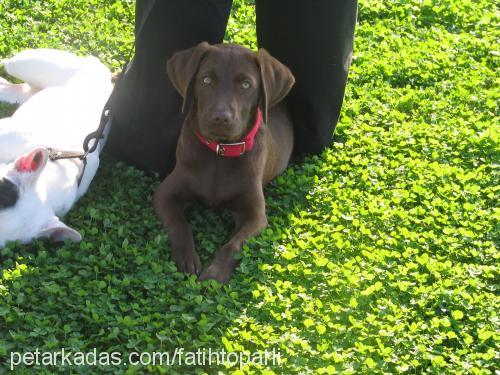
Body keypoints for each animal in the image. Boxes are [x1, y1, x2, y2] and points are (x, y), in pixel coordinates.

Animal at [152, 42, 292, 284]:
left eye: (246, 85)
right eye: (206, 80)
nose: (221, 118)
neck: (220, 151)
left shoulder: (256, 216)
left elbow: (234, 244)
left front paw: (214, 274)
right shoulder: (165, 194)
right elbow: (179, 224)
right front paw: (187, 258)